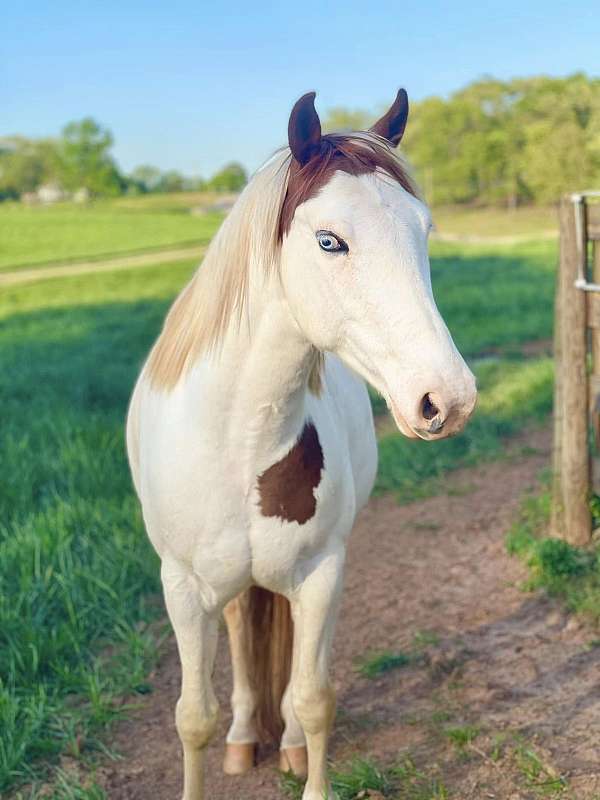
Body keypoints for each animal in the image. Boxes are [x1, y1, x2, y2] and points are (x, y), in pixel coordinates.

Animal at [126, 89, 478, 800]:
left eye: (424, 231)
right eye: (329, 241)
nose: (448, 398)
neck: (238, 443)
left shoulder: (321, 575)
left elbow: (315, 698)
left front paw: (301, 749)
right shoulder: (182, 587)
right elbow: (193, 716)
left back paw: (282, 741)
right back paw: (244, 738)